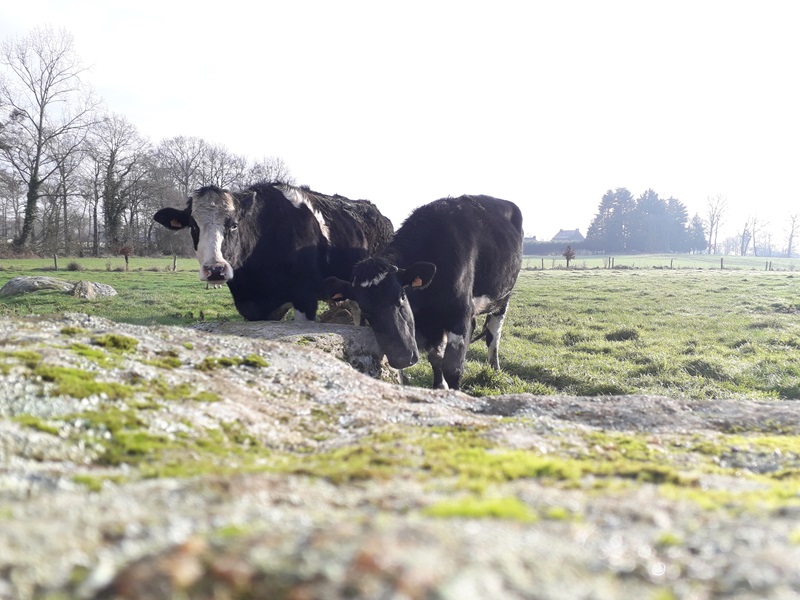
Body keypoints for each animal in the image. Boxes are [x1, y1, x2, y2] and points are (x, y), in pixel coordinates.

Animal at [324, 192, 524, 390]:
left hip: (503, 298)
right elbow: (436, 358)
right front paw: (440, 386)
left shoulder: (460, 315)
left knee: (493, 334)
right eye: (366, 311)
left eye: (402, 296)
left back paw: (495, 368)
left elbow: (453, 368)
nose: (403, 358)